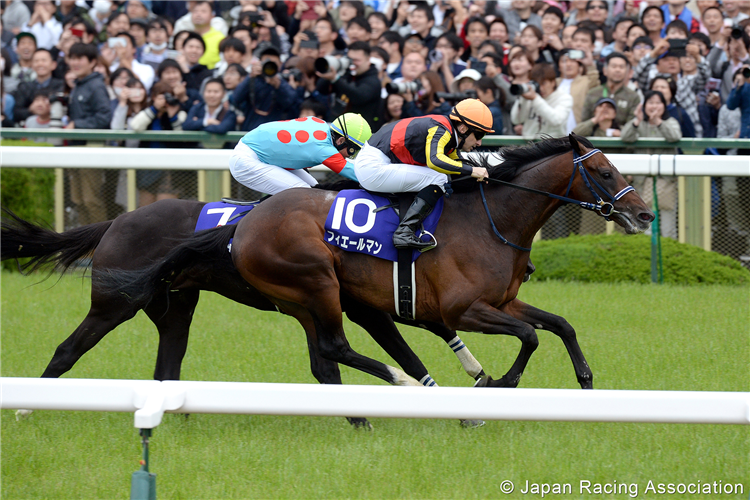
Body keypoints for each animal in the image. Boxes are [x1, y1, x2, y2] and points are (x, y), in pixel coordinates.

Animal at [101, 136, 656, 390]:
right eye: (605, 170)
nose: (645, 213)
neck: (490, 220)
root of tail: (246, 223)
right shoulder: (464, 310)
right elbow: (530, 337)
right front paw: (502, 381)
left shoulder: (502, 302)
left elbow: (559, 325)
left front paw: (585, 377)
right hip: (316, 283)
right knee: (335, 347)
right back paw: (403, 382)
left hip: (313, 298)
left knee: (332, 353)